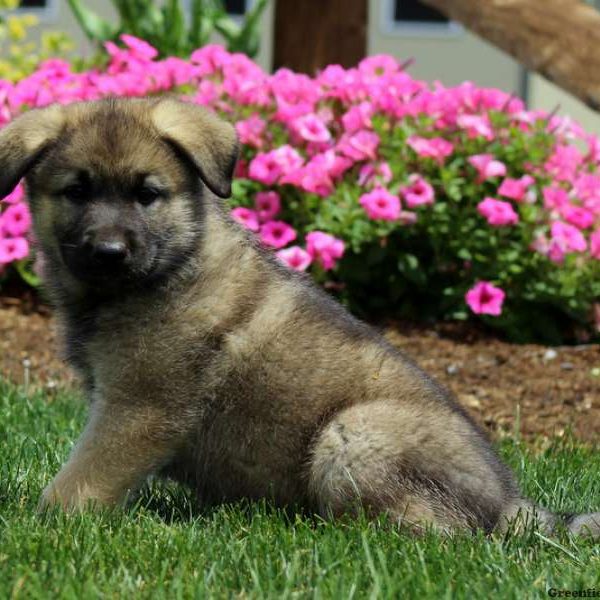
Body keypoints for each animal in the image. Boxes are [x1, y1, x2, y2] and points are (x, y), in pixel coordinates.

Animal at [0, 99, 596, 540]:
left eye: (147, 194)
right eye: (76, 191)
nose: (108, 252)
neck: (168, 266)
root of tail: (512, 504)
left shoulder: (138, 408)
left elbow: (81, 479)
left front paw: (44, 524)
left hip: (355, 433)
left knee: (439, 534)